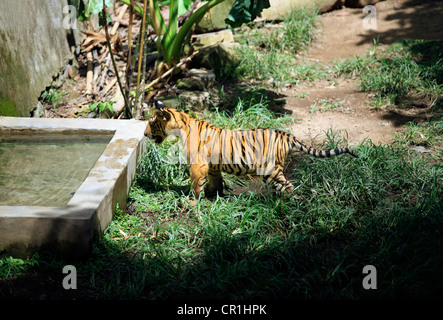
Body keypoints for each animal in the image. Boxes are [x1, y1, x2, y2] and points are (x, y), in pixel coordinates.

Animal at [144, 100, 360, 200]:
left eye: (151, 122)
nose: (145, 134)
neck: (181, 125)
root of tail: (286, 135)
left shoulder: (198, 165)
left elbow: (196, 183)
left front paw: (193, 201)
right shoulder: (213, 166)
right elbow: (214, 181)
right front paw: (214, 196)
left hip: (270, 169)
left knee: (288, 186)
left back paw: (281, 204)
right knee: (284, 185)